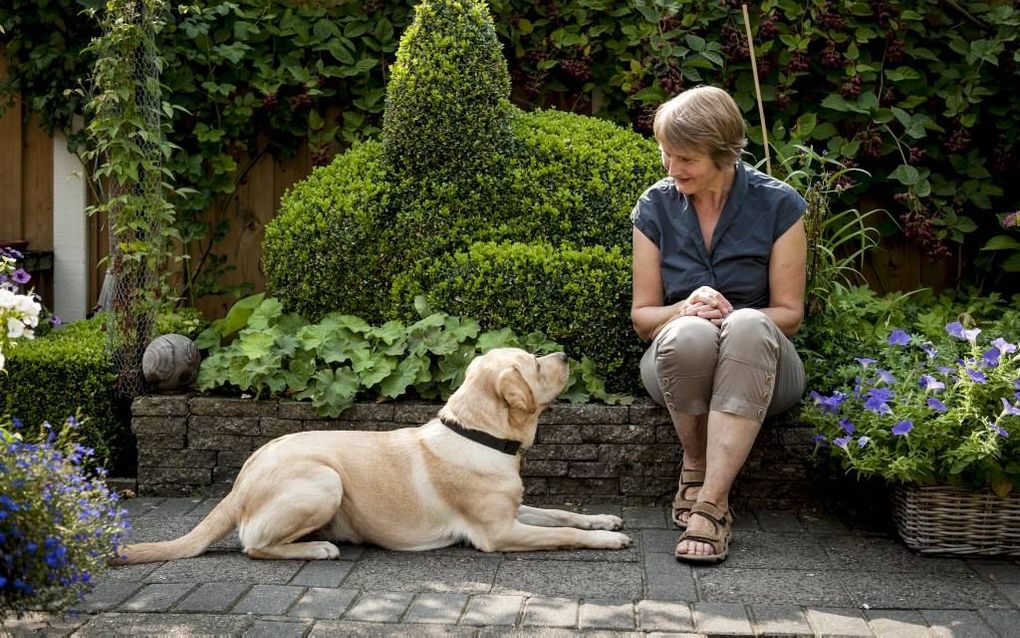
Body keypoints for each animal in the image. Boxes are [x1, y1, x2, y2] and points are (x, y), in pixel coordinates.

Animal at [117, 349, 628, 563]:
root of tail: (242, 480)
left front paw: (602, 519)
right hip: (324, 481)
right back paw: (317, 549)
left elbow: (562, 513)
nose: (565, 354)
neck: (480, 434)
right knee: (253, 543)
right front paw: (608, 540)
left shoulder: (515, 510)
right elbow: (563, 534)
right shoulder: (498, 533)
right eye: (534, 363)